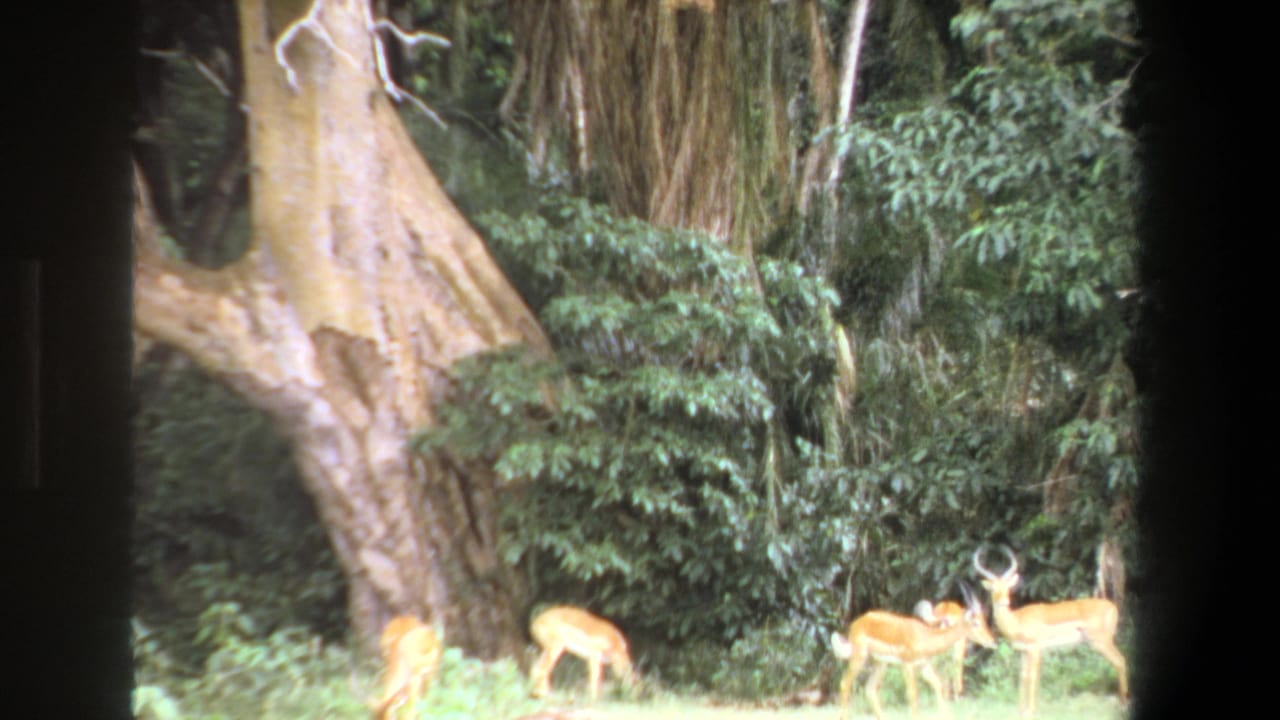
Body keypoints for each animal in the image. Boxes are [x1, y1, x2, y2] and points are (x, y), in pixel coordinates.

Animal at [831, 583, 995, 720]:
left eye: (984, 619)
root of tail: (858, 622)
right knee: (845, 683)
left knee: (870, 690)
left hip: (880, 663)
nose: (991, 641)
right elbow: (913, 696)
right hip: (860, 658)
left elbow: (939, 685)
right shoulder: (907, 665)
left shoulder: (923, 665)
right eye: (975, 622)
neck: (925, 636)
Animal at [973, 546, 1129, 716]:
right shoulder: (1023, 651)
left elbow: (1033, 676)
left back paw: (1123, 705)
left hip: (1101, 642)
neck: (1017, 620)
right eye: (993, 588)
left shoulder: (1035, 649)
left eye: (1008, 587)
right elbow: (1023, 677)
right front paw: (1020, 711)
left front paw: (1031, 711)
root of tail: (1112, 607)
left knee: (1121, 661)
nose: (1004, 602)